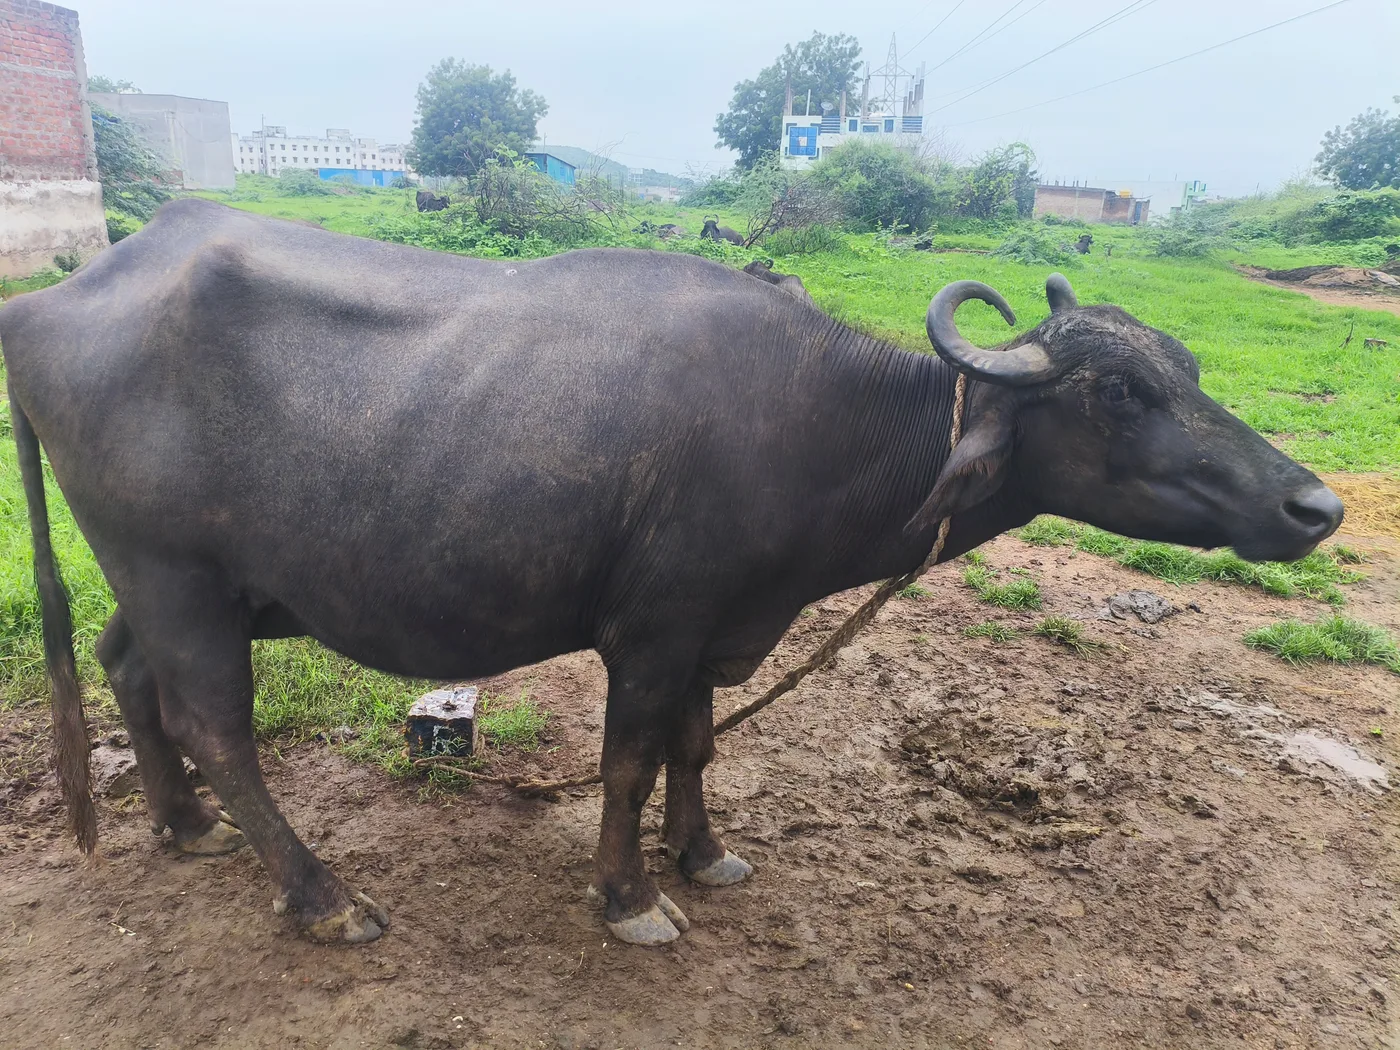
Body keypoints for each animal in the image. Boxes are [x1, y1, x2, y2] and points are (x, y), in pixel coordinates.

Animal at [3, 200, 1342, 948]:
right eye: (1114, 390)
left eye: (1183, 366)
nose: (1312, 504)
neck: (824, 423)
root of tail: (46, 306)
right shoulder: (651, 630)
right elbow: (630, 760)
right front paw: (630, 896)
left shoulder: (719, 623)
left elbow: (698, 750)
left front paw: (704, 854)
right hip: (176, 576)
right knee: (216, 726)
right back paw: (321, 896)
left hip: (172, 585)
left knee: (129, 676)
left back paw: (181, 827)